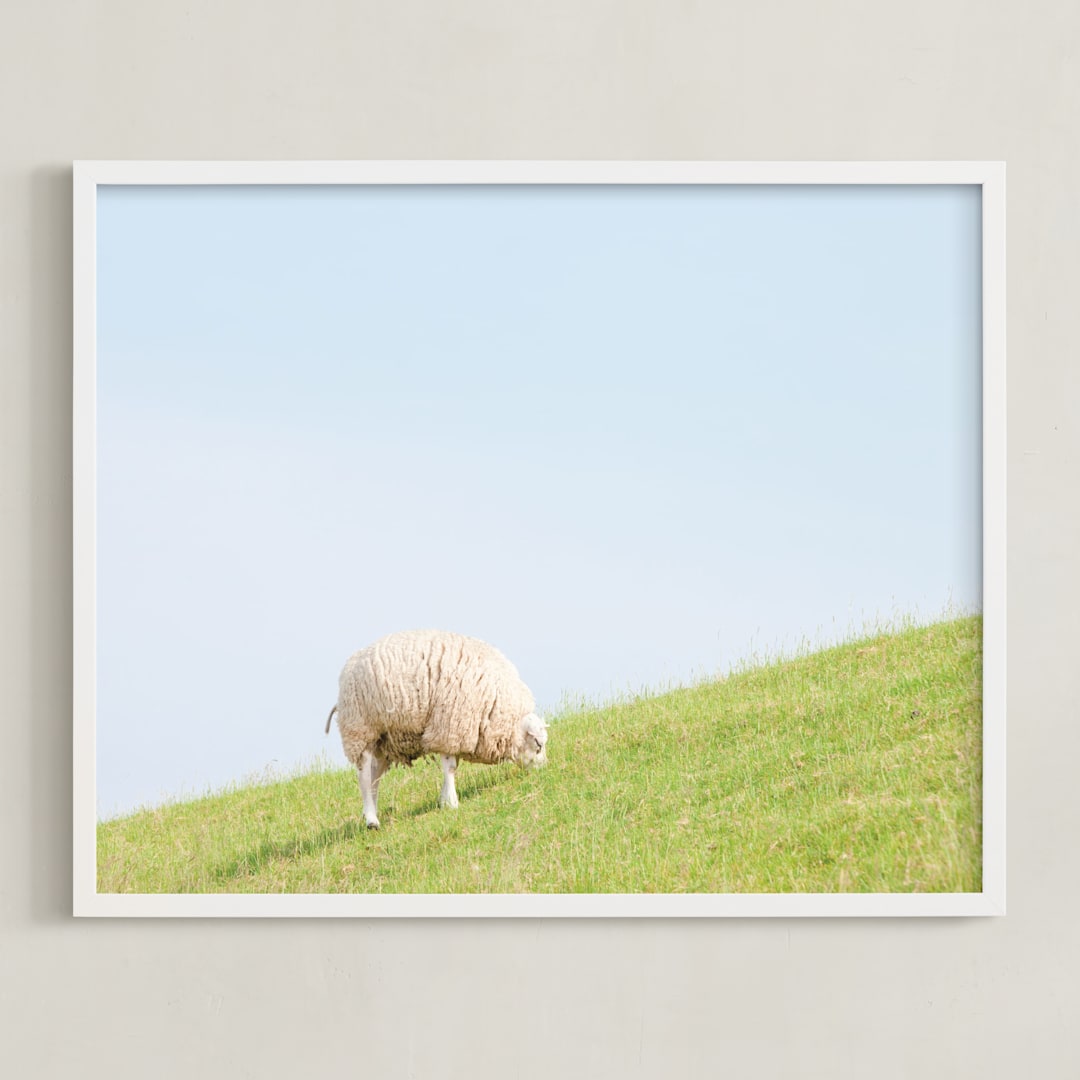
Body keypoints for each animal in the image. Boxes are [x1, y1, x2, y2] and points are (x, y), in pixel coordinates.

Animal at [325, 629, 548, 829]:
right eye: (538, 745)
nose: (544, 770)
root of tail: (347, 669)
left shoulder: (454, 733)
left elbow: (451, 767)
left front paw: (443, 799)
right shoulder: (448, 727)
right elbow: (450, 768)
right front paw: (451, 802)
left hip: (383, 740)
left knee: (374, 778)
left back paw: (371, 813)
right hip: (360, 728)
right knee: (363, 777)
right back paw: (371, 821)